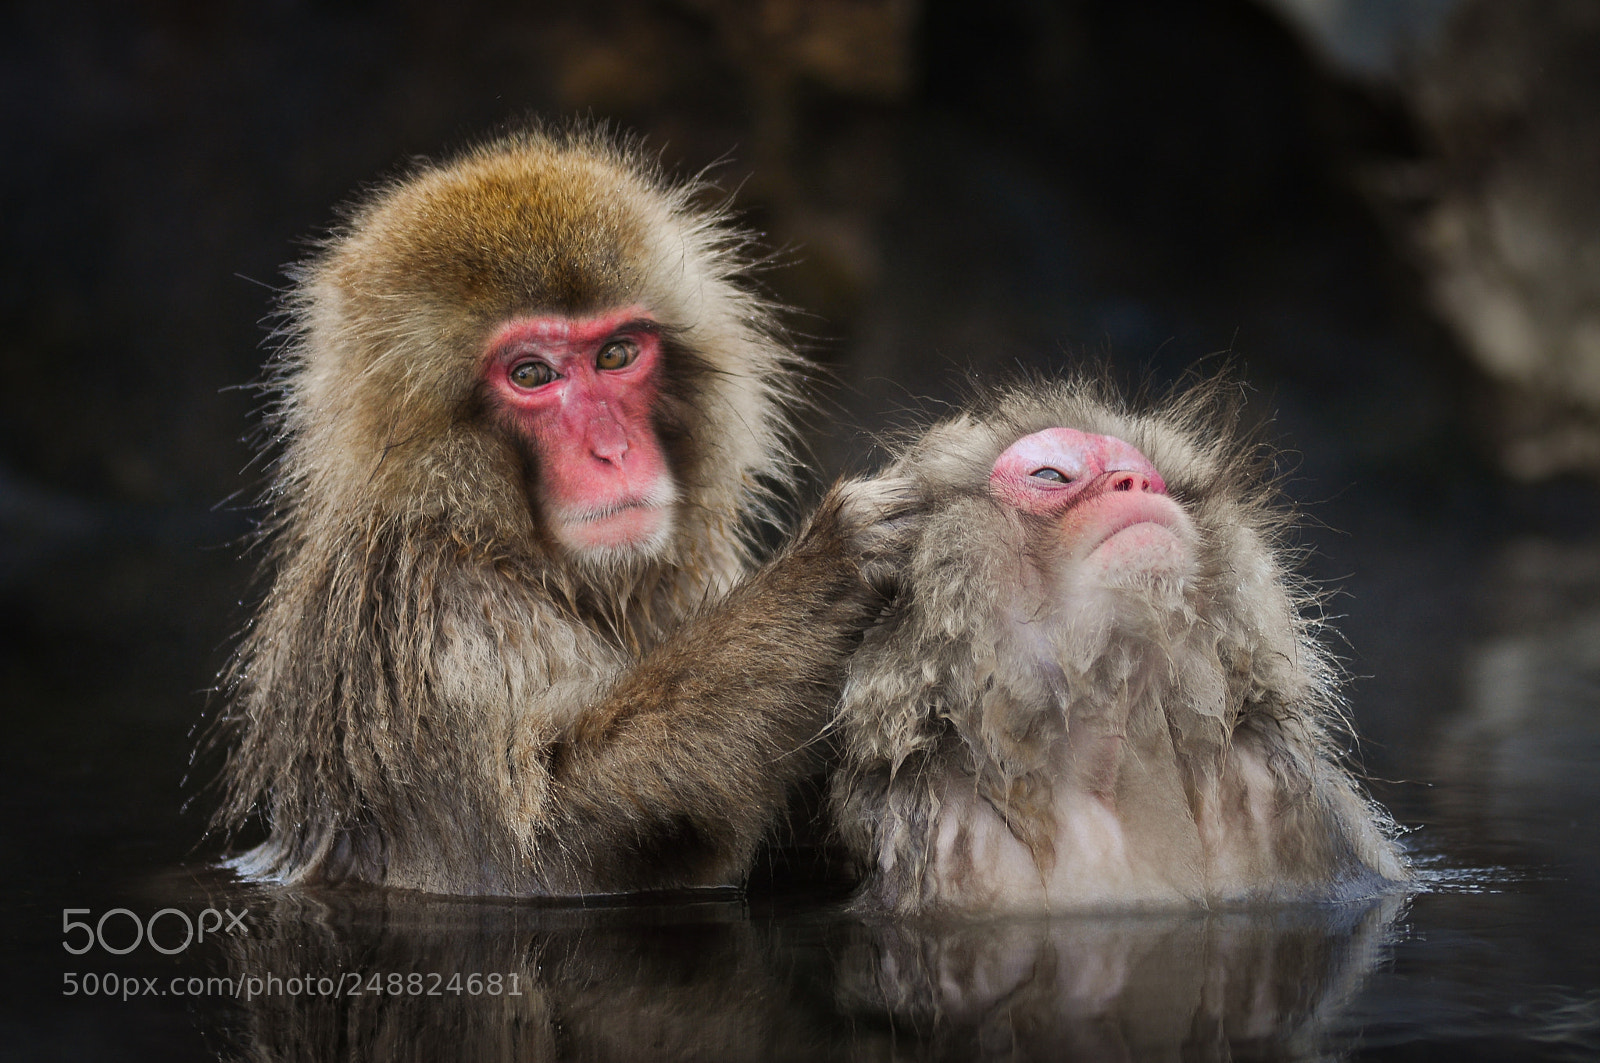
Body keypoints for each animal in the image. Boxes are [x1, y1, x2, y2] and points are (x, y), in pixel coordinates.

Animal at [212, 123, 918, 897]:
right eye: (531, 374)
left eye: (616, 354)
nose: (612, 449)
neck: (492, 538)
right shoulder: (427, 622)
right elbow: (543, 852)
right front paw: (835, 561)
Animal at [830, 375, 1409, 914]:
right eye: (1050, 475)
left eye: (1147, 475)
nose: (1135, 483)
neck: (1116, 743)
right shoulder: (936, 830)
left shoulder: (1286, 790)